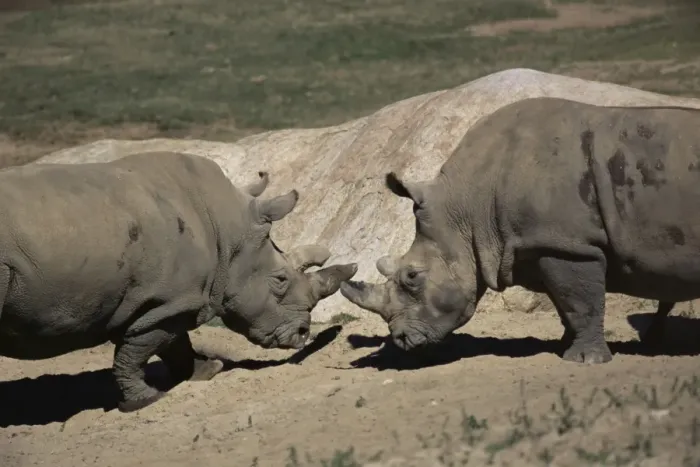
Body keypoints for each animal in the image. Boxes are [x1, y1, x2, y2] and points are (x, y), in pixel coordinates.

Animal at [0, 151, 357, 412]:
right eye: (280, 279)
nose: (303, 334)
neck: (226, 232)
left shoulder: (175, 302)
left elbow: (174, 345)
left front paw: (208, 371)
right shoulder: (166, 302)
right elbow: (136, 352)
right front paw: (145, 400)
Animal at [341, 97, 700, 364]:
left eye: (412, 277)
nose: (402, 339)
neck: (466, 209)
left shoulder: (568, 244)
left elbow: (580, 302)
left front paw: (585, 360)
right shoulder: (542, 243)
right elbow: (566, 302)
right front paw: (564, 348)